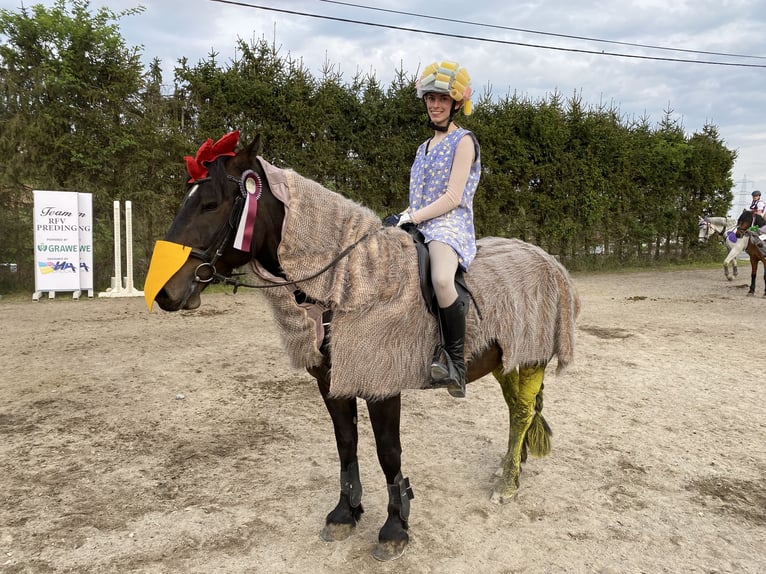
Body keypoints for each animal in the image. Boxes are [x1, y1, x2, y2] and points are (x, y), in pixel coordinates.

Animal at [142, 133, 584, 564]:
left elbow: (388, 452)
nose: (165, 294)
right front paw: (345, 512)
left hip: (528, 361)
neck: (351, 281)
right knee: (516, 413)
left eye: (210, 203)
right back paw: (512, 468)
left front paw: (395, 527)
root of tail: (548, 259)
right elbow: (346, 443)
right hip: (508, 361)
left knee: (521, 414)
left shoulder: (380, 385)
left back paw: (507, 484)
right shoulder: (331, 382)